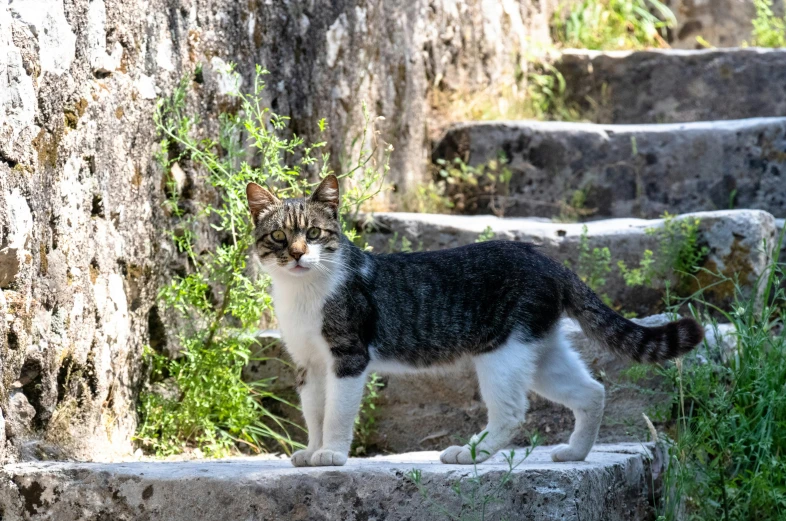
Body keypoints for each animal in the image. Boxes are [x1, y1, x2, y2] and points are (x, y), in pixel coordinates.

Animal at [243, 175, 700, 468]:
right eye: (279, 237)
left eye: (314, 234)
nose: (298, 254)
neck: (303, 293)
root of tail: (548, 260)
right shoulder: (309, 364)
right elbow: (313, 413)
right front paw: (312, 451)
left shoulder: (348, 356)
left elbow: (336, 412)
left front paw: (333, 455)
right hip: (539, 348)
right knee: (592, 391)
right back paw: (575, 453)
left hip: (503, 353)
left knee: (513, 411)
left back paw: (471, 452)